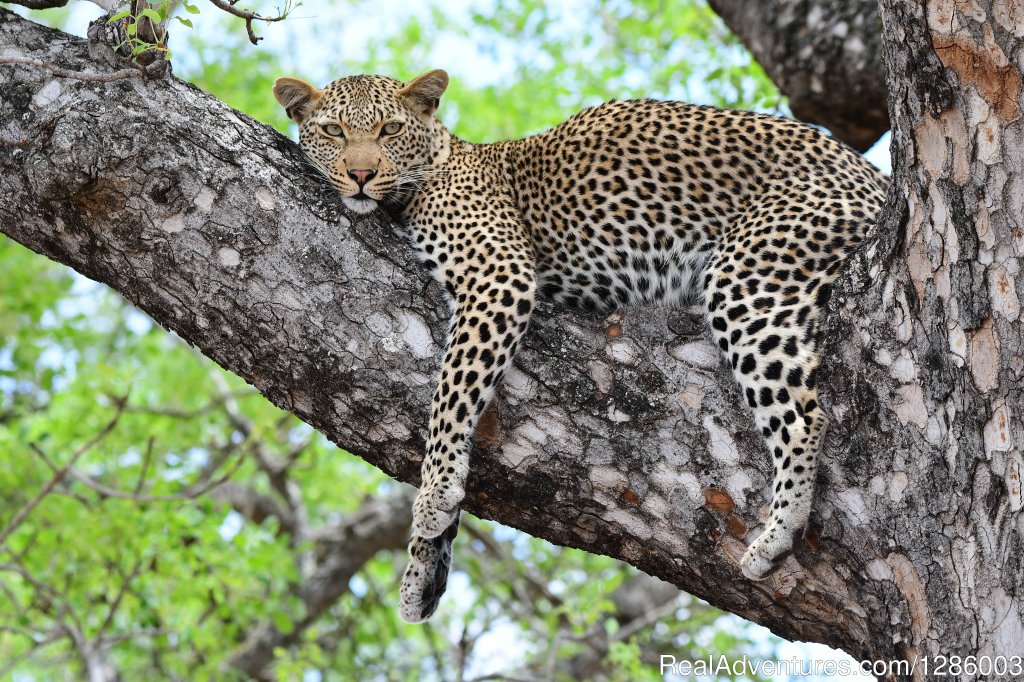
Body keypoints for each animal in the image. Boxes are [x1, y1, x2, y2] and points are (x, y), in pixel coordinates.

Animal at [272, 69, 888, 622]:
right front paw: (422, 570)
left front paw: (434, 494)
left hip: (747, 272)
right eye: (333, 132)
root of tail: (871, 173)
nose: (360, 174)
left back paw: (776, 536)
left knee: (805, 415)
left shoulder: (498, 278)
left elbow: (450, 398)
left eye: (390, 129)